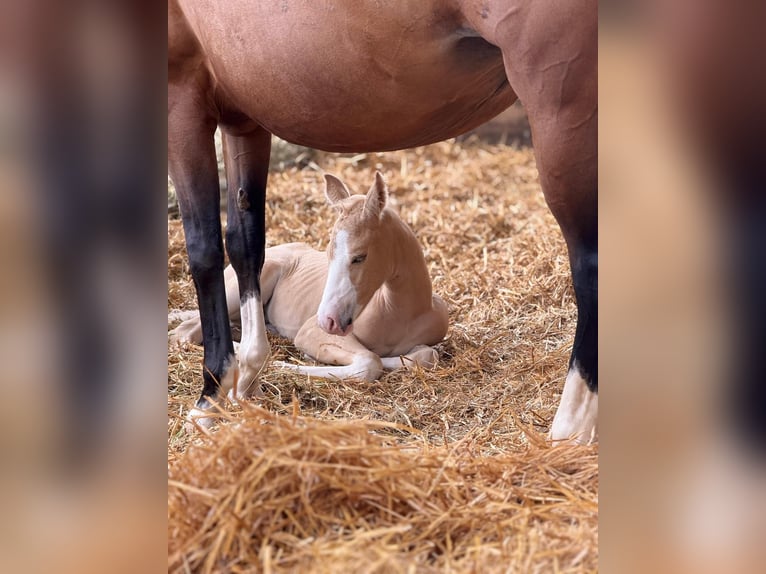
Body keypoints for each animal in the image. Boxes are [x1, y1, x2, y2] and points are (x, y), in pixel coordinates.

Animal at [171, 172, 449, 424]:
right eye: (328, 254)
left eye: (360, 257)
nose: (328, 320)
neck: (401, 311)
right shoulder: (309, 331)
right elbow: (371, 361)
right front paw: (283, 365)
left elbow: (425, 356)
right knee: (186, 331)